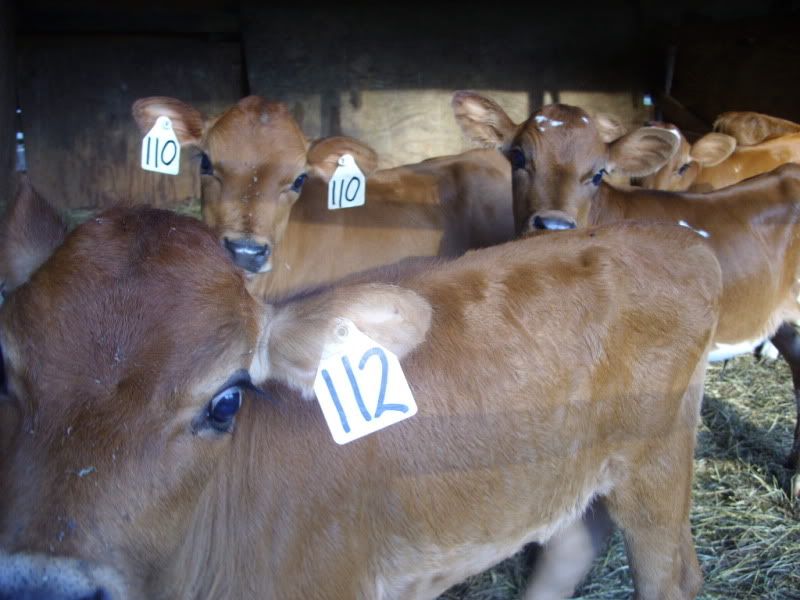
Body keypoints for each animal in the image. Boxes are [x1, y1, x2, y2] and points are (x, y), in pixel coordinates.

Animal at [0, 205, 721, 599]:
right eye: (3, 370)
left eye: (228, 401)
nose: (41, 588)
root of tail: (677, 234)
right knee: (570, 544)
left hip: (656, 465)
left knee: (674, 576)